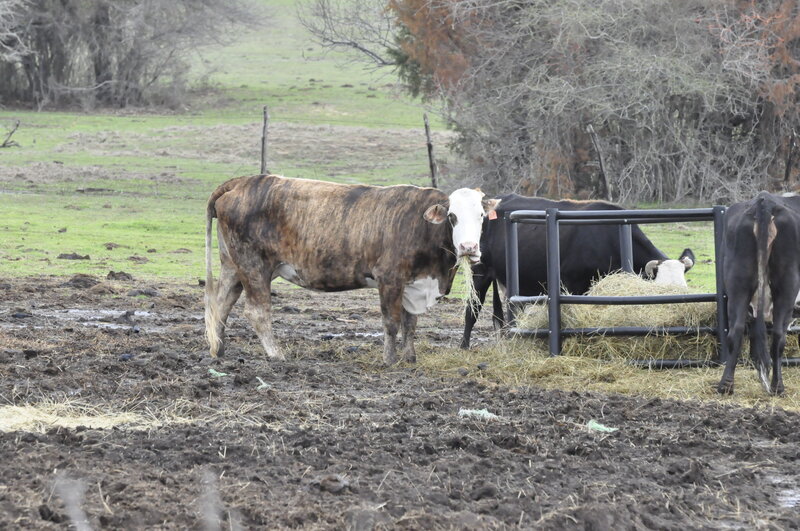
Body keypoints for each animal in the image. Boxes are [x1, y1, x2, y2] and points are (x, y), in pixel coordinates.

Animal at [204, 175, 500, 365]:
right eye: (452, 217)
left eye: (481, 216)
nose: (469, 247)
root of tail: (243, 181)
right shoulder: (389, 279)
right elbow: (392, 323)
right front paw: (389, 360)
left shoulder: (413, 285)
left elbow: (410, 324)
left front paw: (410, 358)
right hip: (254, 267)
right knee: (257, 311)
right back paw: (276, 354)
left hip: (233, 265)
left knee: (221, 303)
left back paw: (218, 349)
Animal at [717, 191, 800, 396]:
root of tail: (765, 201)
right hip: (788, 284)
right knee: (778, 336)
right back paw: (777, 386)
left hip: (738, 282)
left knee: (737, 330)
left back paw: (726, 385)